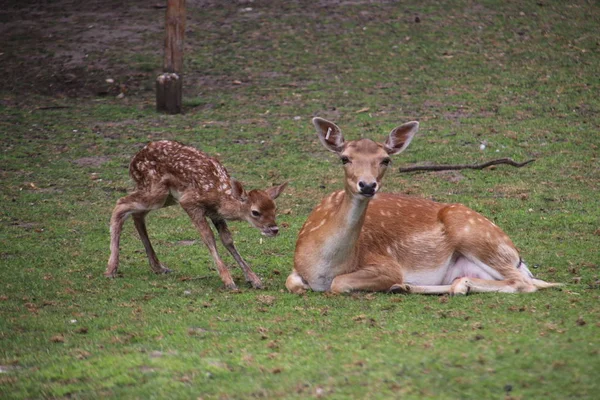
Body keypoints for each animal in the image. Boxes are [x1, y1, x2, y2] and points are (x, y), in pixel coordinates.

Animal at [106, 139, 288, 290]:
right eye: (255, 212)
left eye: (275, 208)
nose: (274, 229)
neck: (218, 195)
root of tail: (133, 160)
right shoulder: (190, 202)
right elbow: (208, 237)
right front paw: (228, 281)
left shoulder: (216, 214)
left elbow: (227, 240)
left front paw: (254, 279)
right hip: (155, 190)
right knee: (121, 204)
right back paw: (111, 269)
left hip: (166, 197)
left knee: (137, 214)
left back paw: (158, 267)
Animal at [288, 117, 560, 296]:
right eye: (345, 158)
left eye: (385, 160)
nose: (367, 185)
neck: (325, 266)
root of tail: (518, 256)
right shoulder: (295, 267)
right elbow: (292, 283)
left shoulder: (386, 265)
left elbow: (339, 284)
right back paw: (411, 287)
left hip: (476, 235)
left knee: (524, 283)